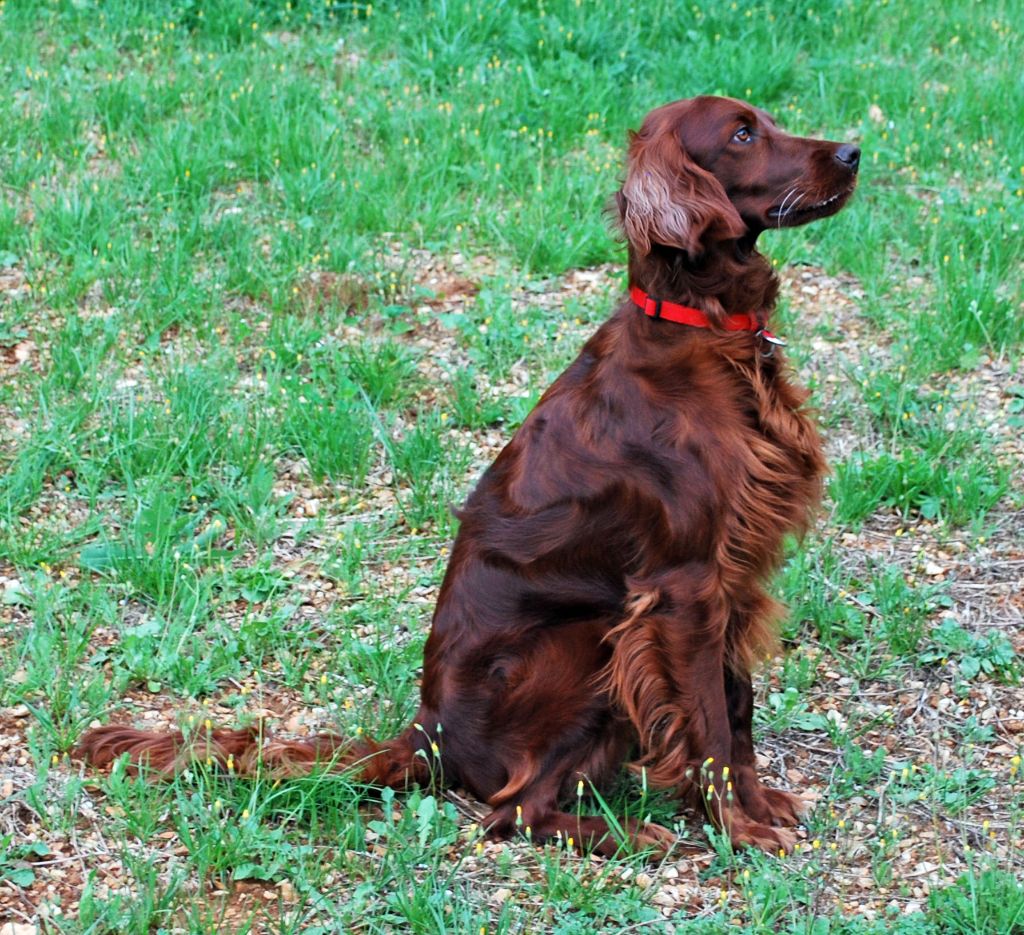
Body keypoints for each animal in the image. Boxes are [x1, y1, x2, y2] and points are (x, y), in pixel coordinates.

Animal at [77, 94, 856, 852]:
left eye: (768, 120)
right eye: (742, 133)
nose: (853, 152)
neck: (703, 333)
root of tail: (430, 734)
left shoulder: (735, 575)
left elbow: (738, 706)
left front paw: (759, 805)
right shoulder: (684, 586)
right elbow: (712, 723)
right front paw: (740, 829)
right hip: (589, 640)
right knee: (515, 812)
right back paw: (637, 835)